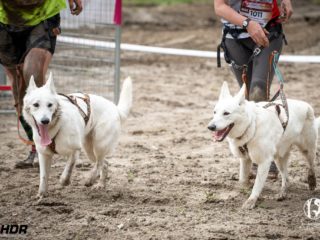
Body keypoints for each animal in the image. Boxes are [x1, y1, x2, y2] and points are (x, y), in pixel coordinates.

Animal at [209, 81, 318, 209]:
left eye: (226, 113)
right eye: (214, 112)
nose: (210, 127)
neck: (252, 125)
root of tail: (306, 105)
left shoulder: (264, 162)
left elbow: (257, 185)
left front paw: (251, 200)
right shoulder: (245, 159)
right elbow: (242, 179)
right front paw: (245, 188)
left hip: (307, 149)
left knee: (311, 165)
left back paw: (311, 181)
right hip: (279, 157)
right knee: (286, 177)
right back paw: (282, 192)